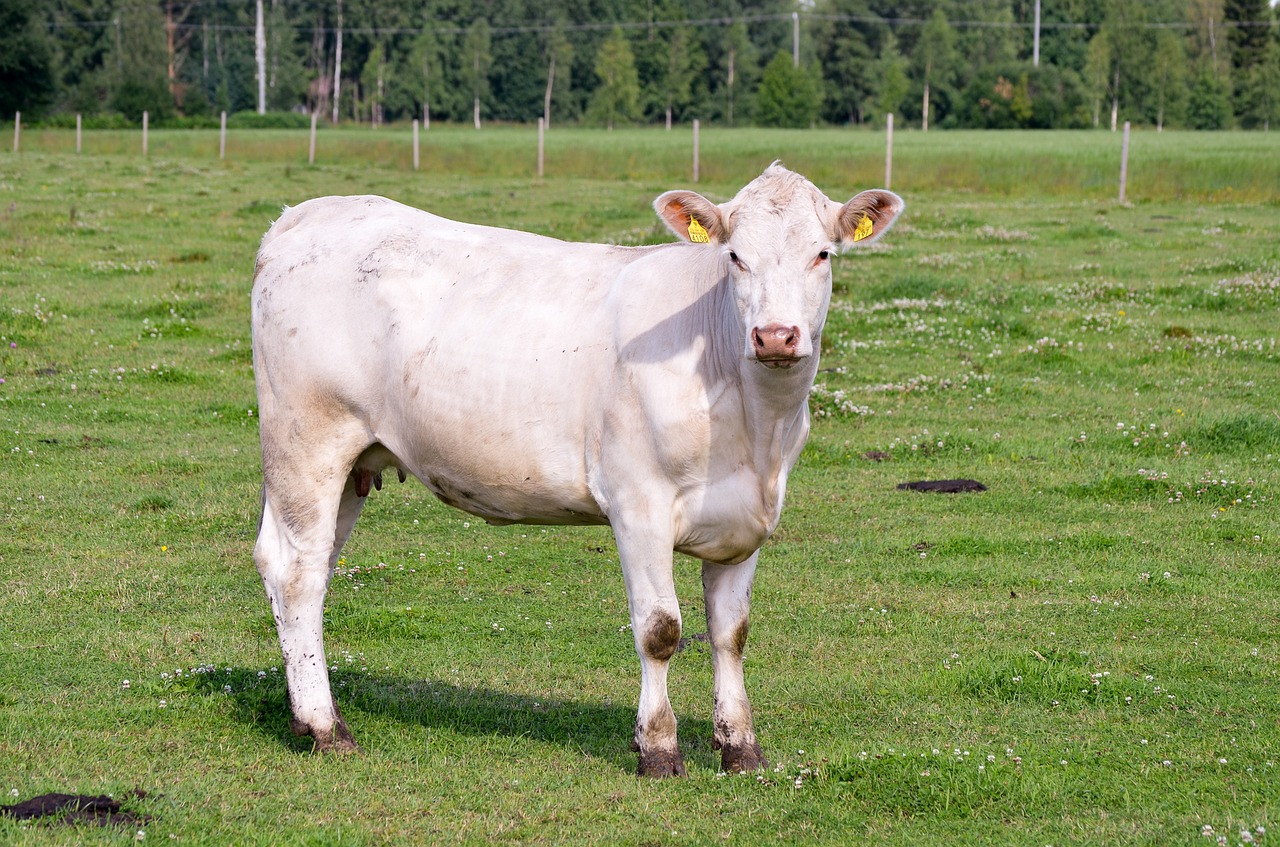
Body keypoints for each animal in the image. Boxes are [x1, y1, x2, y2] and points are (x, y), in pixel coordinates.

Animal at [252, 162, 901, 777]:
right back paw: (326, 729)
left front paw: (739, 746)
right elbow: (660, 631)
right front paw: (658, 748)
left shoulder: (748, 518)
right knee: (296, 571)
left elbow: (730, 634)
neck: (754, 422)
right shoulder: (638, 504)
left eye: (822, 254)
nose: (775, 335)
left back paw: (309, 717)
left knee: (313, 568)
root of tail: (305, 214)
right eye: (736, 257)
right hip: (307, 440)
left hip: (352, 465)